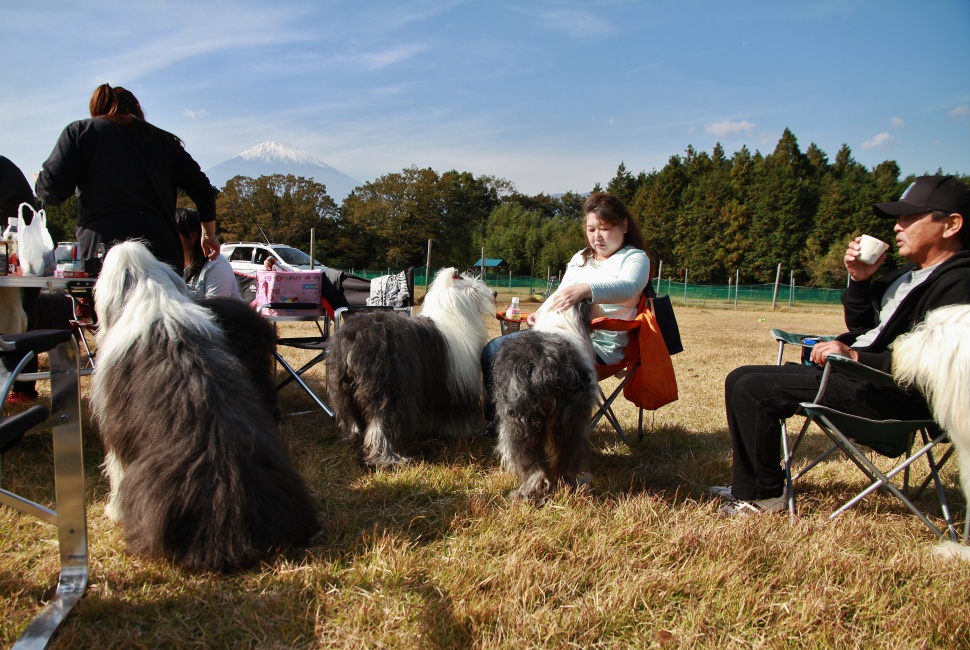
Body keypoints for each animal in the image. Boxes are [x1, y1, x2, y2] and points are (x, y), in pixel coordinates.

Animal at [326, 267, 495, 467]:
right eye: (472, 285)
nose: (494, 293)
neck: (454, 314)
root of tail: (354, 337)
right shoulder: (456, 386)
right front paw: (462, 432)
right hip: (387, 389)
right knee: (380, 424)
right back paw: (389, 458)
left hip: (344, 389)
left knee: (351, 416)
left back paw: (353, 439)